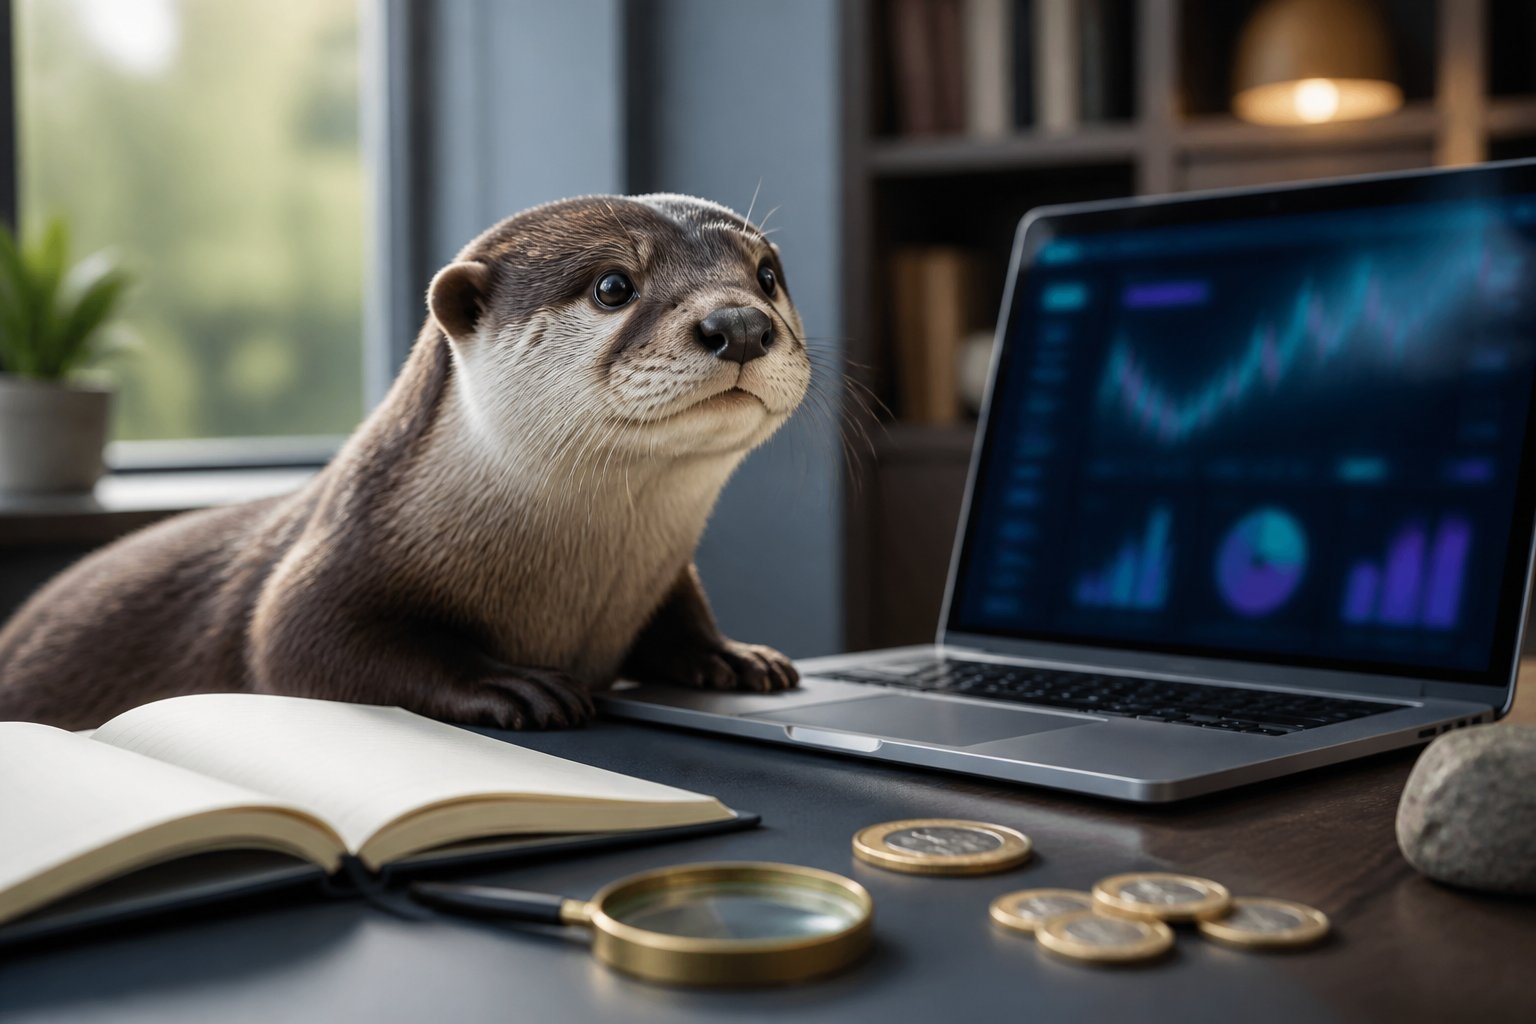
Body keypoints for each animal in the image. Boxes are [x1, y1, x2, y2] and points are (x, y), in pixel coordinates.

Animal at [0, 194, 810, 731]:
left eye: (767, 275)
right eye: (614, 285)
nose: (740, 323)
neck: (576, 586)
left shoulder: (659, 574)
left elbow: (683, 611)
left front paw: (735, 656)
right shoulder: (333, 553)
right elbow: (293, 639)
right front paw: (508, 682)